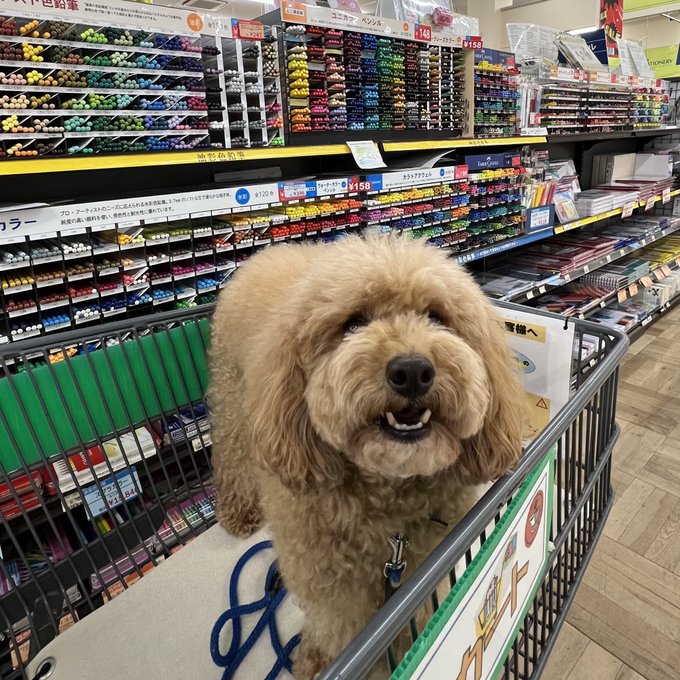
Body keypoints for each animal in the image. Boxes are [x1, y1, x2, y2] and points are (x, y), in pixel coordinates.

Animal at [209, 234, 524, 679]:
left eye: (437, 316)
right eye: (354, 323)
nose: (412, 371)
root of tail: (269, 251)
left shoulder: (426, 564)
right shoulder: (329, 579)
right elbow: (341, 628)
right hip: (234, 399)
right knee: (232, 452)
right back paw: (238, 510)